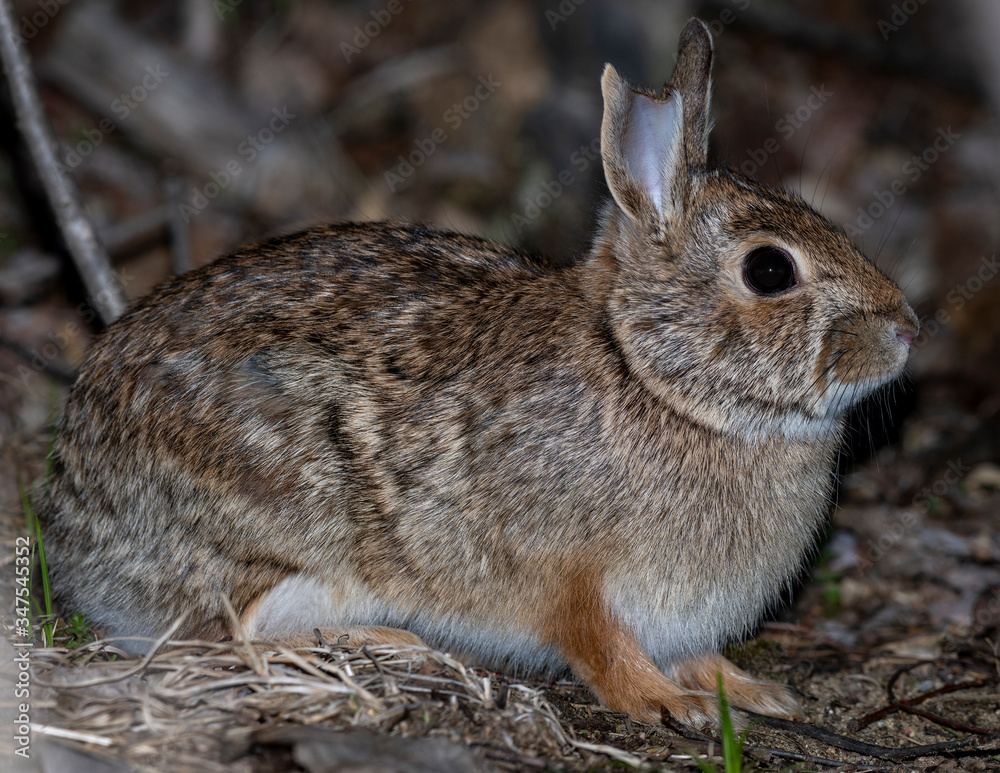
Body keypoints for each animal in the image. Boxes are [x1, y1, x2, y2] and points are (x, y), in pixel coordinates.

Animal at [41, 18, 917, 731]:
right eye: (769, 270)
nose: (906, 331)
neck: (657, 380)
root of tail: (75, 523)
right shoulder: (567, 575)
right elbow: (598, 645)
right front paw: (667, 704)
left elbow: (697, 654)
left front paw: (753, 691)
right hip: (289, 543)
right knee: (233, 634)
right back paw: (394, 642)